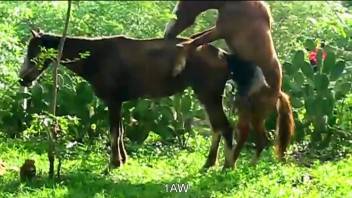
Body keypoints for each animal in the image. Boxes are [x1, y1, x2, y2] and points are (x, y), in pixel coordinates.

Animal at [18, 30, 256, 169]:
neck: (96, 56)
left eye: (33, 51)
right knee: (217, 128)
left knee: (224, 128)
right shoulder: (119, 101)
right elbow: (121, 131)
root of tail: (224, 55)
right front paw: (123, 159)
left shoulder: (113, 100)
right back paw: (209, 163)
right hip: (208, 96)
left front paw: (114, 163)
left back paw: (227, 166)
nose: (22, 79)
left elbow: (114, 132)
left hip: (209, 95)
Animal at [165, 0, 294, 166]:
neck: (235, 4)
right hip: (247, 110)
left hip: (255, 114)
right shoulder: (218, 29)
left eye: (179, 10)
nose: (167, 34)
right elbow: (194, 38)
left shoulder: (221, 30)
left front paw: (178, 64)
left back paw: (239, 165)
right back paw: (235, 164)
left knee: (257, 138)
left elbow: (193, 41)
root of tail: (278, 93)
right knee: (250, 135)